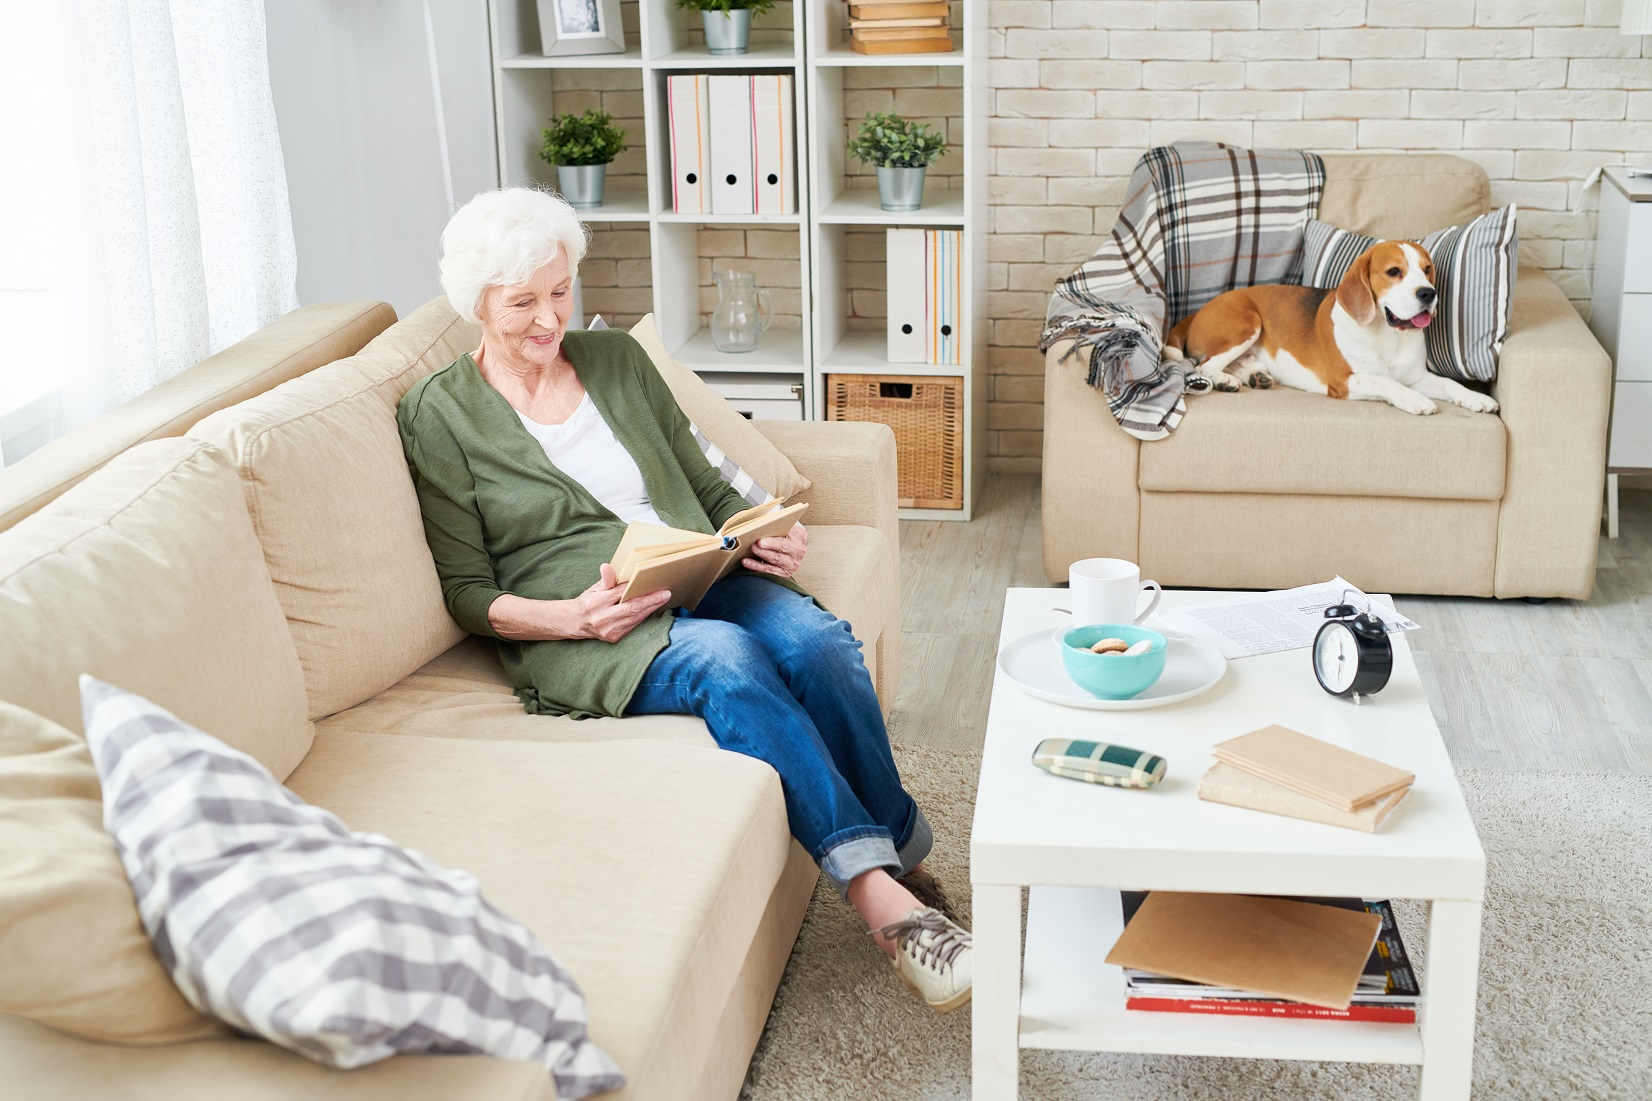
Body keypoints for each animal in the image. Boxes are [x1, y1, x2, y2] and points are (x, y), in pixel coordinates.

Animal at [1163, 239, 1500, 416]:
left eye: (1427, 269)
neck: (1387, 336)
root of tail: (1200, 310)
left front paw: (1476, 397)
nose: (1428, 294)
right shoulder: (1344, 380)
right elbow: (1386, 382)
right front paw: (1414, 399)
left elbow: (1449, 384)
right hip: (1246, 324)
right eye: (1394, 272)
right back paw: (1226, 380)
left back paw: (1253, 376)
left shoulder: (1417, 377)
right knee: (1204, 366)